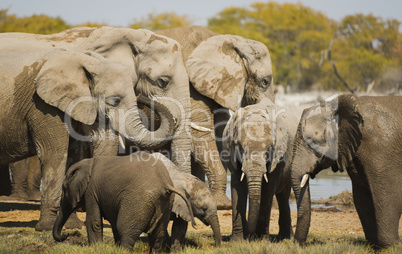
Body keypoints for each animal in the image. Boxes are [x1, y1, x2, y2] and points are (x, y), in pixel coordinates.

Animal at [0, 27, 186, 230]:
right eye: (163, 81)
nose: (144, 98)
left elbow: (84, 148)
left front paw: (72, 225)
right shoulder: (42, 104)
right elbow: (54, 152)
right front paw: (49, 227)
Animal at [53, 151, 195, 252]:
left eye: (64, 189)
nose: (66, 234)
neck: (87, 162)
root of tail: (165, 183)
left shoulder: (91, 191)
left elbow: (94, 222)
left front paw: (95, 248)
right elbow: (113, 223)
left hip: (137, 201)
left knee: (126, 230)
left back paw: (123, 250)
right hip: (166, 203)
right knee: (157, 236)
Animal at [221, 98, 296, 241]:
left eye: (269, 149)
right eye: (240, 148)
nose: (251, 235)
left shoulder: (277, 157)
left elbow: (268, 188)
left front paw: (261, 239)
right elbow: (238, 186)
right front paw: (238, 241)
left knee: (283, 195)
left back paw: (286, 237)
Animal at [292, 95, 402, 248]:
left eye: (313, 142)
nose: (296, 243)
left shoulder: (382, 148)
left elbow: (388, 195)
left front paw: (390, 246)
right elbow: (362, 198)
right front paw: (375, 245)